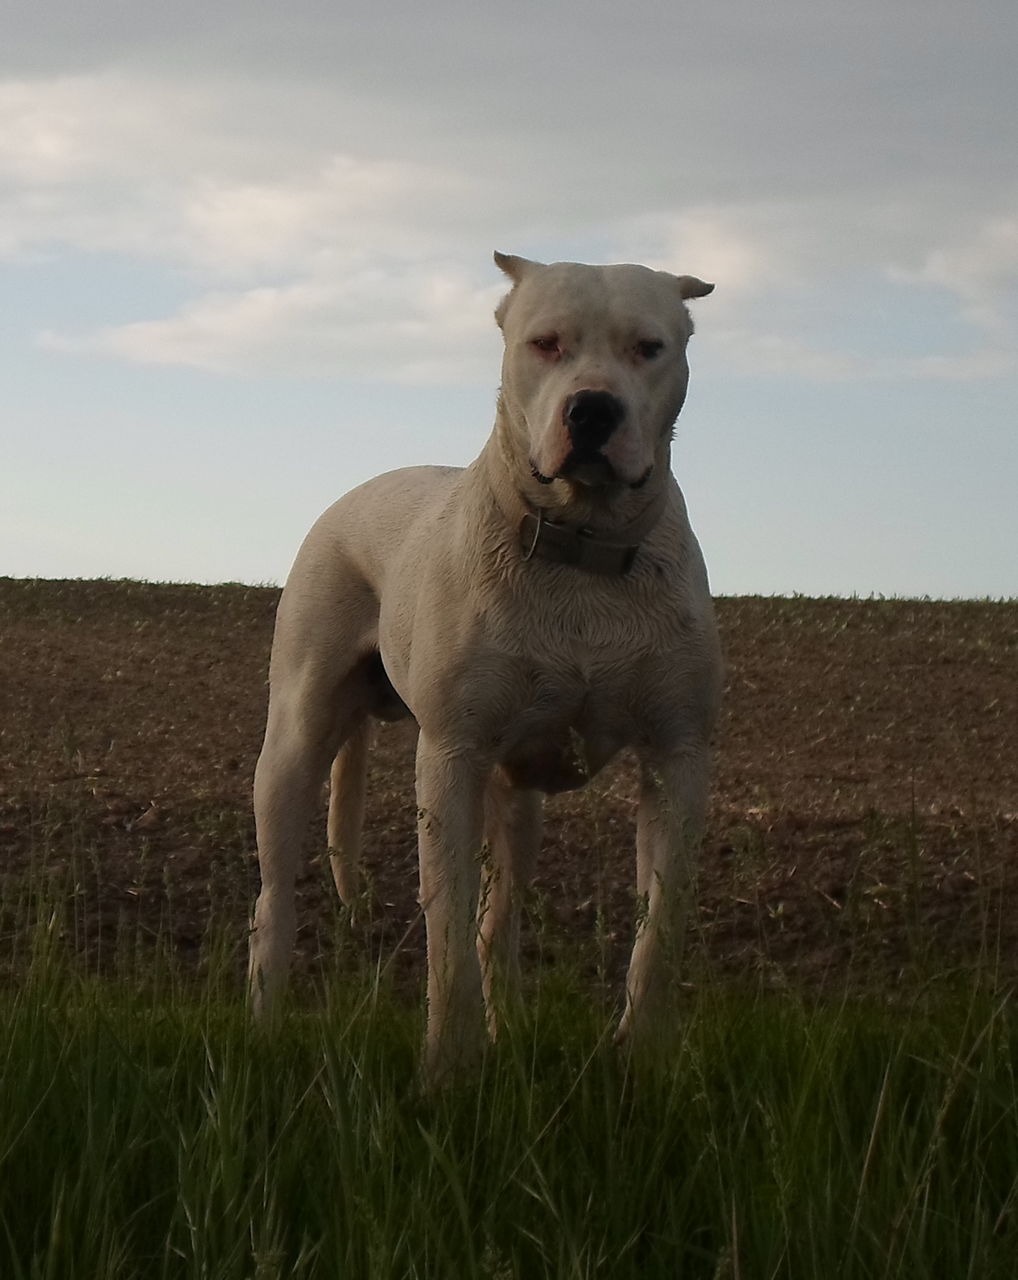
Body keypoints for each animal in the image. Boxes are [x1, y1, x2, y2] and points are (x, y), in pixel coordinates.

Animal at [249, 252, 722, 1080]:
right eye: (545, 343)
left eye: (648, 348)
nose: (592, 410)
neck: (582, 554)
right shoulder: (452, 758)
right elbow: (446, 927)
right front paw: (449, 1066)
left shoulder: (678, 759)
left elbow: (660, 927)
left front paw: (645, 1058)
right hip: (295, 740)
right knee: (274, 898)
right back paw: (266, 1024)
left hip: (518, 800)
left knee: (499, 923)